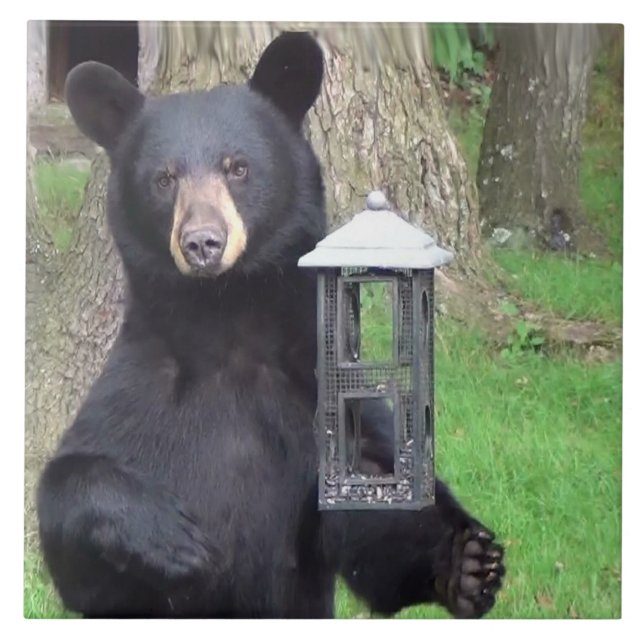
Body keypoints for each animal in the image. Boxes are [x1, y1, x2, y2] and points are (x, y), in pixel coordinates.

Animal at [36, 32, 505, 619]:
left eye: (237, 167)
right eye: (164, 178)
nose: (202, 242)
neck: (229, 318)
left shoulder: (318, 391)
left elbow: (375, 518)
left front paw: (467, 561)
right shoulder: (141, 388)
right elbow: (74, 528)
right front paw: (173, 538)